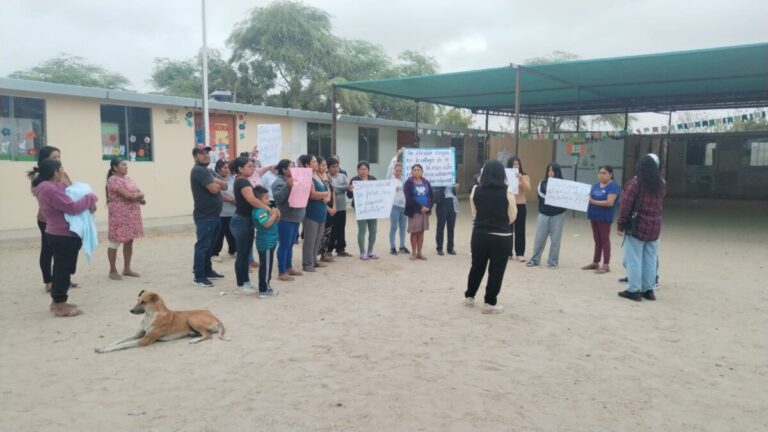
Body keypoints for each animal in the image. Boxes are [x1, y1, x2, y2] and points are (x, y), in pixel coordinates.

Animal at [96, 290, 228, 354]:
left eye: (143, 302)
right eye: (137, 300)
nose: (131, 310)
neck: (150, 316)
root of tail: (213, 315)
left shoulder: (144, 340)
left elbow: (123, 344)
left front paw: (105, 350)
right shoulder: (137, 335)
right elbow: (119, 341)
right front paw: (104, 346)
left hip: (192, 319)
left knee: (208, 335)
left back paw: (194, 340)